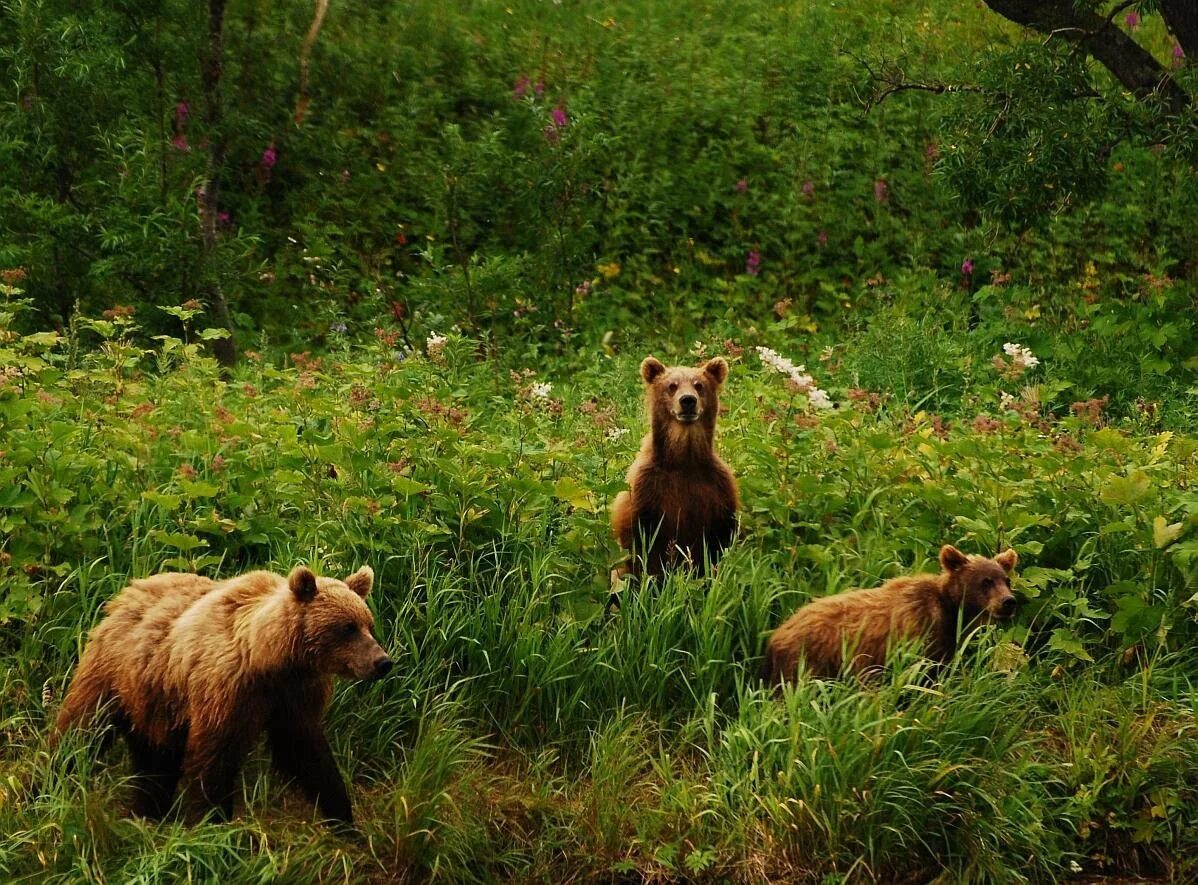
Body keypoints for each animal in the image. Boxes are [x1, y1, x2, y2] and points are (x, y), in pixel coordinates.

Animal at [52, 565, 388, 828]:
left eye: (368, 624)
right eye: (347, 627)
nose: (382, 661)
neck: (269, 659)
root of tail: (126, 592)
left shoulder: (294, 697)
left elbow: (308, 754)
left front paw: (344, 820)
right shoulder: (227, 692)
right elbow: (213, 759)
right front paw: (210, 824)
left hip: (156, 704)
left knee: (155, 761)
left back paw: (146, 812)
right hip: (115, 678)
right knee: (81, 731)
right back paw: (55, 777)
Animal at [613, 356, 742, 584]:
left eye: (699, 385)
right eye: (672, 386)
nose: (688, 400)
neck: (683, 461)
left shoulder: (718, 488)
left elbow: (719, 541)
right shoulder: (646, 489)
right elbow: (640, 546)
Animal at [761, 546, 1015, 685]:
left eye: (1006, 580)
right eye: (986, 581)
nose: (1008, 602)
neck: (952, 610)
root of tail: (776, 634)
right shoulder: (920, 633)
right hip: (809, 660)